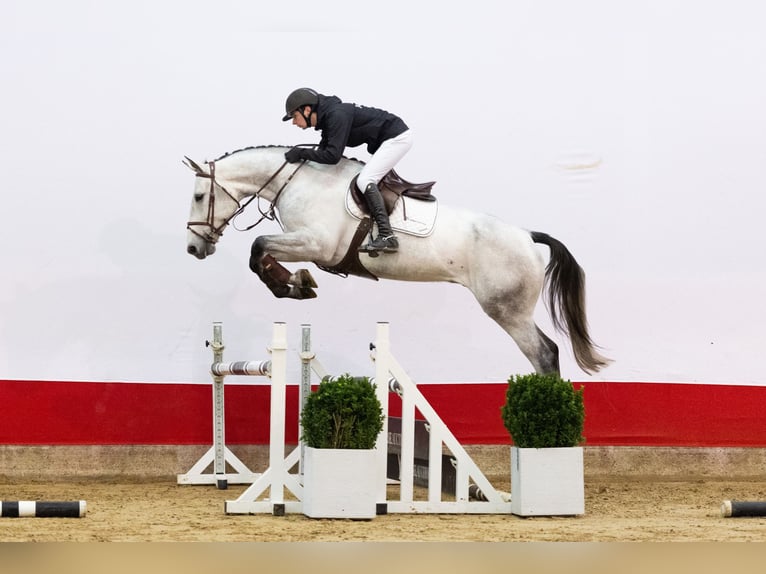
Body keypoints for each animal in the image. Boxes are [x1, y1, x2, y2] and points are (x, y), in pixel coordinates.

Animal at [184, 145, 610, 375]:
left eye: (199, 197)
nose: (193, 249)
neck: (297, 182)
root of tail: (526, 235)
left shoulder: (317, 244)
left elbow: (258, 248)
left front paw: (292, 285)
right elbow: (261, 252)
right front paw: (296, 283)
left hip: (507, 310)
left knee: (544, 353)